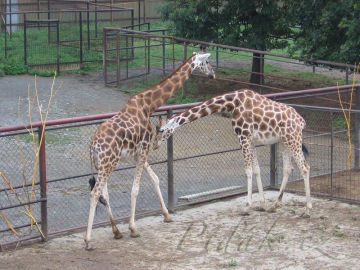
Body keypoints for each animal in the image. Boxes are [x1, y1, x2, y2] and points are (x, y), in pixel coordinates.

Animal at [84, 50, 214, 249]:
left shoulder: (137, 153)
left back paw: (116, 232)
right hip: (109, 162)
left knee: (103, 193)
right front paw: (133, 229)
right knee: (95, 193)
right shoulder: (145, 147)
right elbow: (135, 189)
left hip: (102, 164)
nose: (213, 74)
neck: (148, 105)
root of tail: (93, 146)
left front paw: (167, 216)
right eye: (207, 61)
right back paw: (88, 241)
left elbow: (155, 179)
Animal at [153, 89, 310, 217]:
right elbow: (257, 169)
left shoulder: (243, 136)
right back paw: (275, 206)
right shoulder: (251, 139)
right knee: (288, 169)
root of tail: (302, 121)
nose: (154, 145)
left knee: (305, 167)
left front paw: (247, 207)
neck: (232, 103)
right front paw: (262, 204)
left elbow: (248, 170)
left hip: (293, 139)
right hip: (284, 142)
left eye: (161, 130)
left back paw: (307, 210)